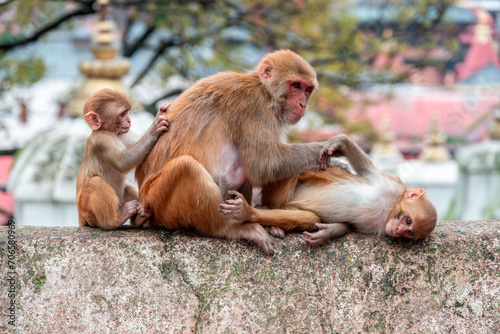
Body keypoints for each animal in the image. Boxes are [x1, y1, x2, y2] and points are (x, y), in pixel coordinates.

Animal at [76, 88, 170, 230]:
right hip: (88, 212)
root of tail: (80, 216)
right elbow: (122, 162)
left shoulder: (124, 136)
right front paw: (153, 129)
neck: (107, 131)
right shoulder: (102, 142)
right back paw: (114, 221)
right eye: (123, 114)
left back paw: (138, 219)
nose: (129, 120)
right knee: (96, 182)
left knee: (127, 187)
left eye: (127, 112)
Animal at [220, 134, 438, 247]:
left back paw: (254, 214)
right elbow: (365, 168)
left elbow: (349, 225)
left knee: (308, 217)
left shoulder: (378, 228)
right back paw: (256, 210)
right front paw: (340, 142)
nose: (399, 230)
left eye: (410, 233)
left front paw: (329, 233)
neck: (389, 209)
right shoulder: (392, 184)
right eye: (408, 220)